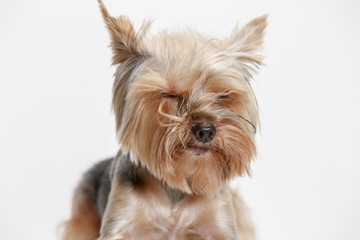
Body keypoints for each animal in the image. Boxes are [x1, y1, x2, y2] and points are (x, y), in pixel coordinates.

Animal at [62, 0, 266, 239]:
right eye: (170, 94)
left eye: (223, 96)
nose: (205, 130)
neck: (177, 185)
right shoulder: (122, 220)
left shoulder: (218, 224)